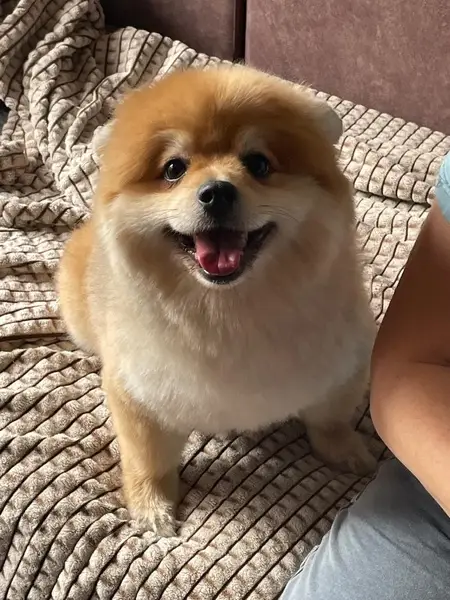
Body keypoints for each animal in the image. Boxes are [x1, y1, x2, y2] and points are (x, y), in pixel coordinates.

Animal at [57, 65, 376, 536]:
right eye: (174, 168)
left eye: (258, 164)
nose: (217, 192)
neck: (226, 313)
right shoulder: (140, 393)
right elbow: (148, 458)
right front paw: (152, 505)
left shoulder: (341, 366)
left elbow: (329, 420)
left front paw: (345, 450)